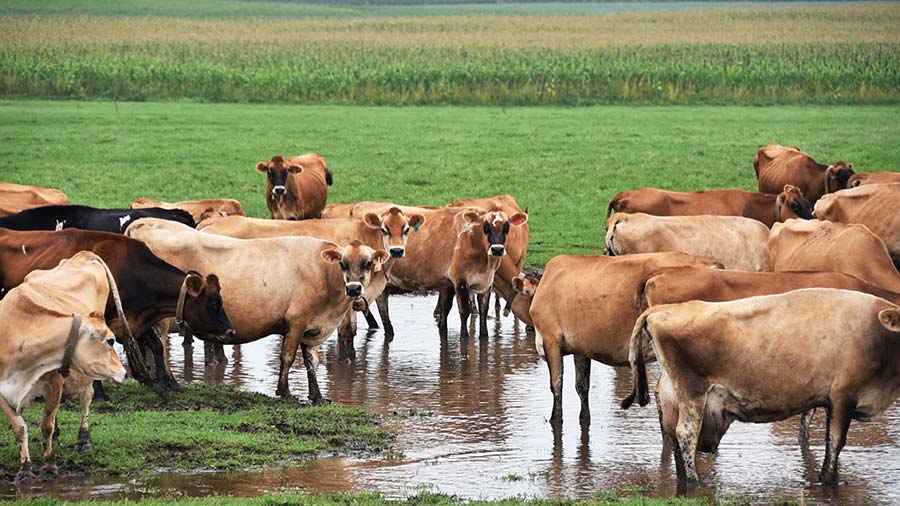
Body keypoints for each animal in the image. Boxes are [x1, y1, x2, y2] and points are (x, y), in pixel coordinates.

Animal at [0, 251, 128, 483]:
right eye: (111, 341)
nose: (124, 372)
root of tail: (83, 255)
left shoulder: (55, 382)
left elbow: (46, 424)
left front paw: (50, 465)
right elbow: (20, 428)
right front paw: (25, 470)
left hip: (87, 378)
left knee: (86, 399)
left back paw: (84, 440)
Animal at [126, 218, 387, 402]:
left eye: (367, 263)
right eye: (343, 263)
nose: (354, 288)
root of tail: (145, 222)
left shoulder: (313, 329)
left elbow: (311, 362)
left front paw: (317, 396)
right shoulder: (296, 321)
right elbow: (287, 357)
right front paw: (285, 391)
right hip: (162, 317)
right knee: (160, 346)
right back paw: (170, 382)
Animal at [528, 252, 723, 423]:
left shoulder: (550, 338)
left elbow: (556, 385)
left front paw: (554, 419)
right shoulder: (580, 347)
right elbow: (582, 387)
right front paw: (584, 418)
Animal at [623, 288, 900, 484]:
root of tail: (663, 309)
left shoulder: (821, 396)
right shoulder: (844, 395)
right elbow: (835, 442)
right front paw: (829, 481)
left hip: (672, 394)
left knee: (672, 435)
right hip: (693, 392)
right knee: (685, 434)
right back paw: (696, 482)